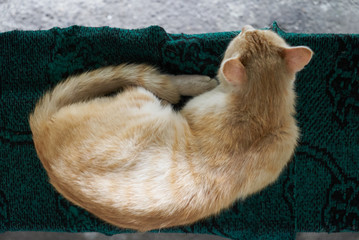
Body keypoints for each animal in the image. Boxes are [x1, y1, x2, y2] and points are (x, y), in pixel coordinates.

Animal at [29, 25, 314, 232]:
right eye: (251, 30)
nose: (244, 26)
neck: (262, 111)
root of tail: (41, 132)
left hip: (141, 96)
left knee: (160, 88)